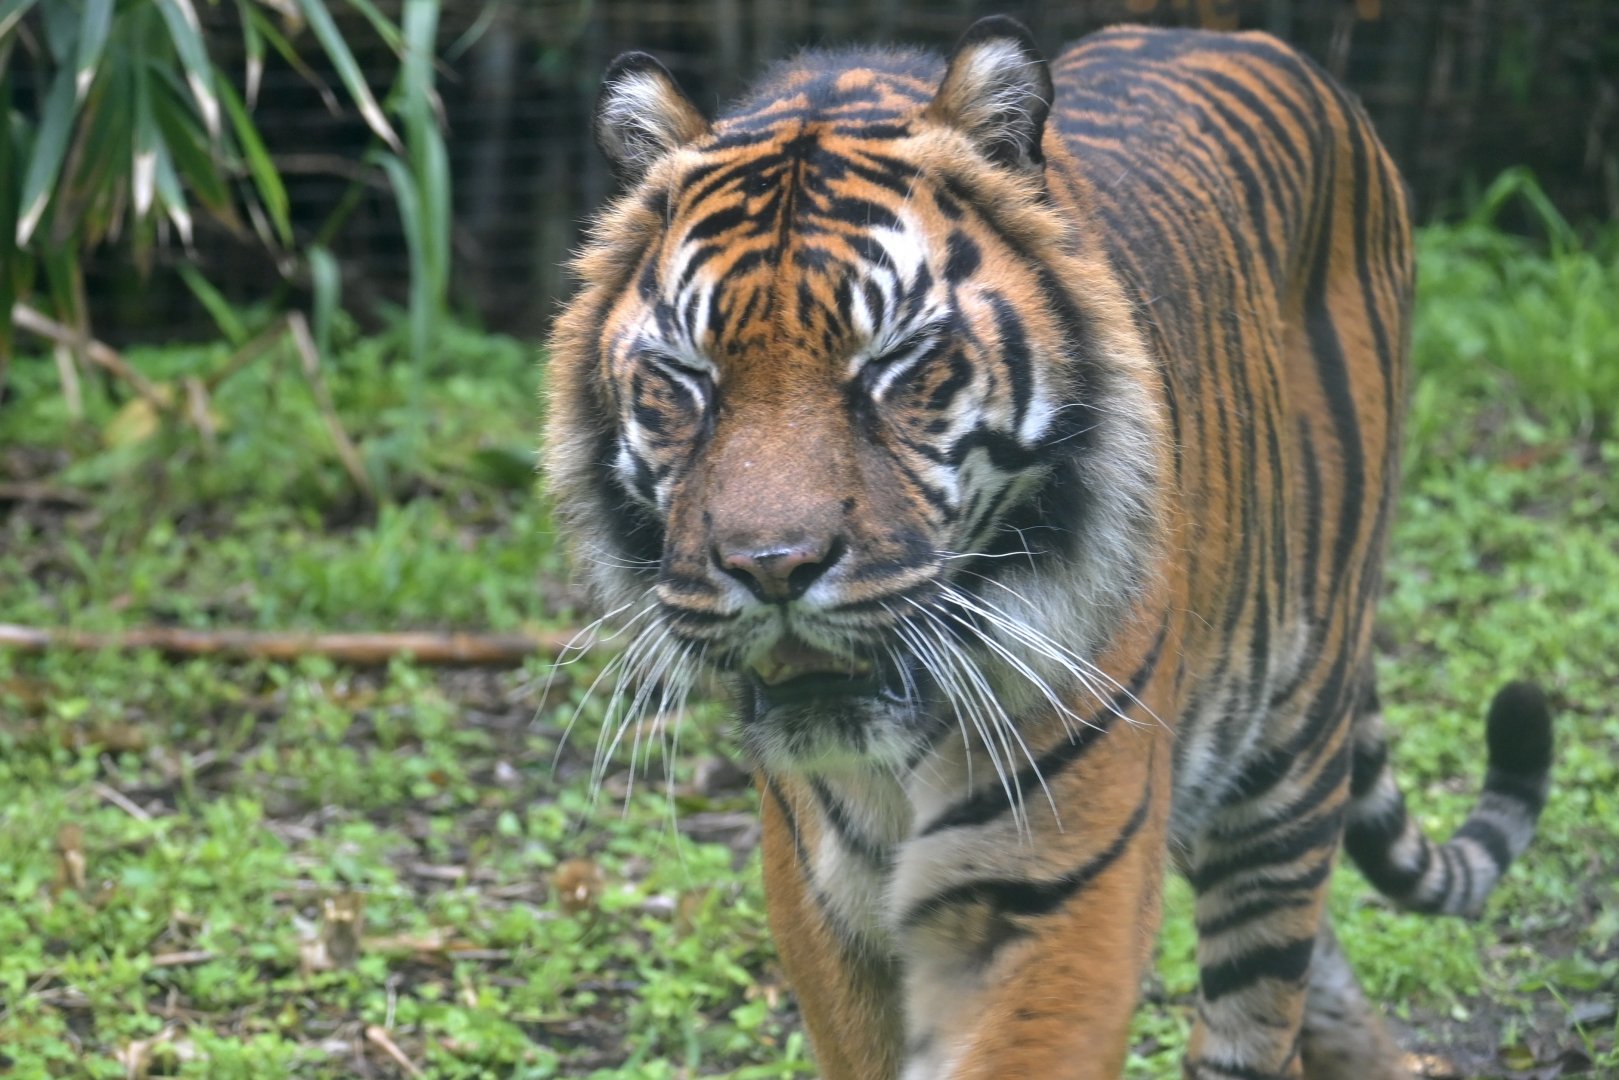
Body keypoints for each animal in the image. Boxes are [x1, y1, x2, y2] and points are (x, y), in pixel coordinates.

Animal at [543, 16, 1554, 1080]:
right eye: (686, 377)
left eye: (894, 364)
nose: (771, 567)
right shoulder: (822, 908)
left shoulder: (1050, 891)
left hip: (1291, 749)